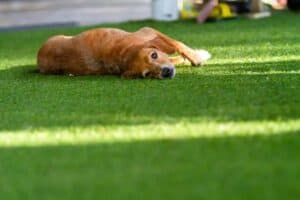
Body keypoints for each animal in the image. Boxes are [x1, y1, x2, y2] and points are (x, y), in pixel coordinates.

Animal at [37, 27, 211, 79]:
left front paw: (193, 57)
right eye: (146, 74)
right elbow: (177, 47)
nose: (166, 72)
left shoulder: (148, 32)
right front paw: (196, 57)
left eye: (154, 55)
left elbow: (178, 45)